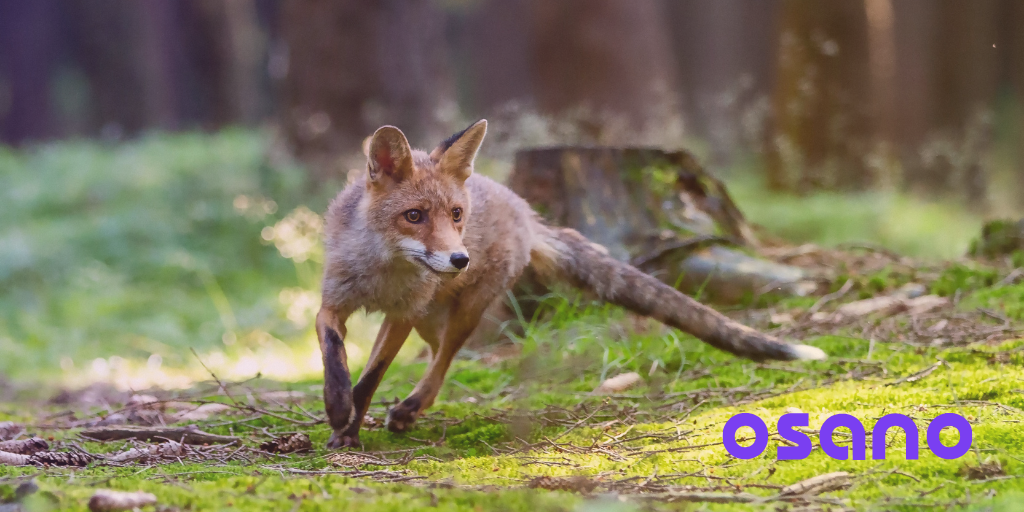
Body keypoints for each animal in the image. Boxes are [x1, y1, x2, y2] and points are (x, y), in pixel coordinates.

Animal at [315, 119, 826, 448]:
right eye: (414, 216)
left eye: (456, 215)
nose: (460, 258)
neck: (384, 274)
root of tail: (523, 208)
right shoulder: (335, 300)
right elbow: (334, 350)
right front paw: (339, 409)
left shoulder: (402, 314)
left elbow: (371, 377)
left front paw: (348, 425)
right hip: (432, 319)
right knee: (441, 358)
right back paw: (411, 409)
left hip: (457, 312)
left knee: (444, 360)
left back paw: (412, 406)